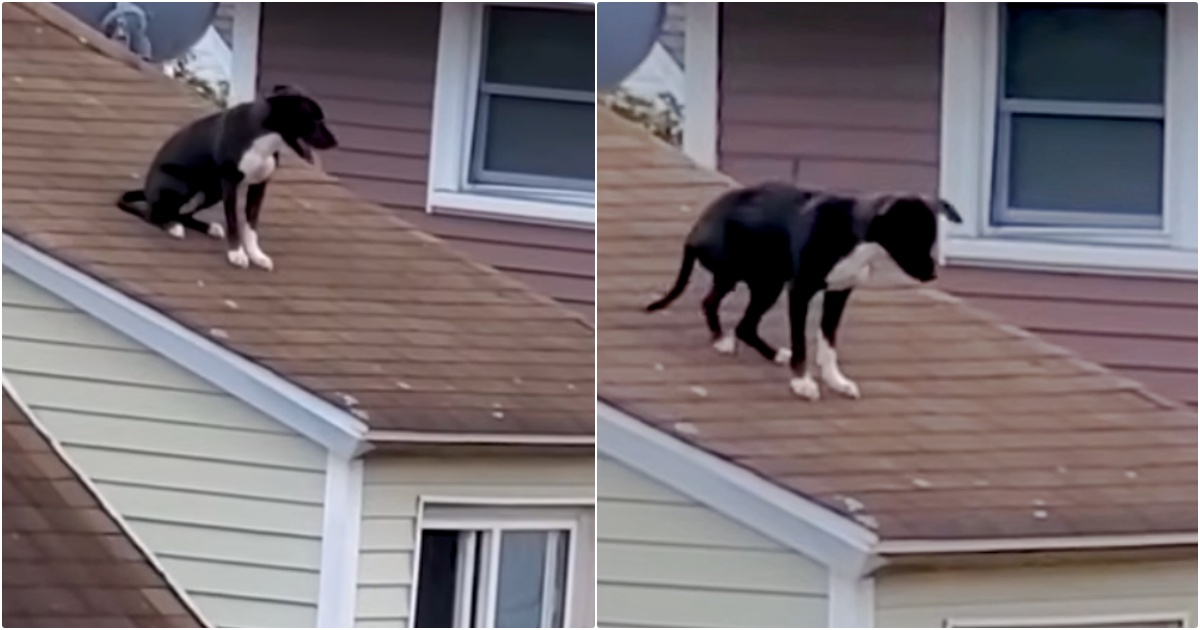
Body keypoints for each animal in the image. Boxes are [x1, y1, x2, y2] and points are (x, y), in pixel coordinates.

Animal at [117, 84, 338, 270]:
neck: (263, 139)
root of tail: (146, 189)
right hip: (180, 185)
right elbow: (233, 223)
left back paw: (206, 227)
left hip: (212, 192)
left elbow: (251, 227)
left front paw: (256, 255)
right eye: (315, 119)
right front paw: (236, 254)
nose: (335, 142)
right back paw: (172, 227)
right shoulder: (230, 183)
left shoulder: (259, 186)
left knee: (182, 214)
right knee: (154, 214)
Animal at [643, 178, 960, 400]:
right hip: (749, 278)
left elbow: (829, 343)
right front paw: (802, 382)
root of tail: (693, 233)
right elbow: (801, 343)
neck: (856, 235)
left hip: (768, 283)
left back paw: (770, 354)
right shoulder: (800, 292)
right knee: (712, 304)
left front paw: (836, 381)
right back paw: (721, 340)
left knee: (745, 325)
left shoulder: (839, 293)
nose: (932, 274)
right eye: (911, 237)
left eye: (930, 239)